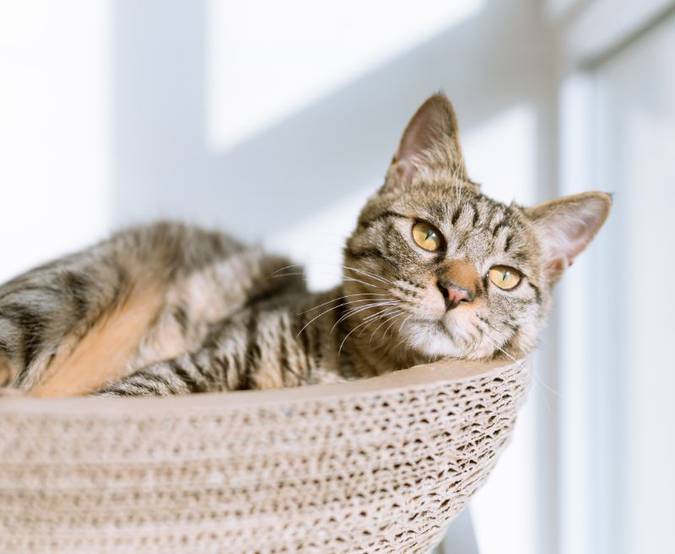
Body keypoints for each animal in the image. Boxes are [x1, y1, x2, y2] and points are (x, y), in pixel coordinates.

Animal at [0, 94, 612, 396]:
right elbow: (131, 397)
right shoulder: (197, 362)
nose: (457, 293)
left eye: (505, 276)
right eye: (427, 235)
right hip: (64, 294)